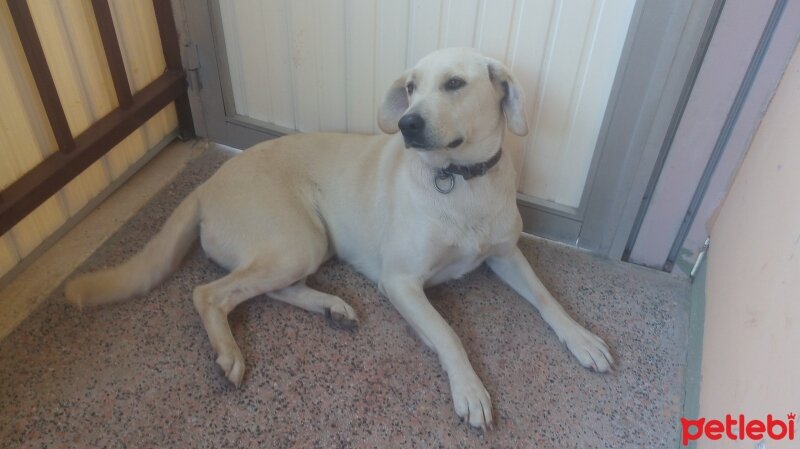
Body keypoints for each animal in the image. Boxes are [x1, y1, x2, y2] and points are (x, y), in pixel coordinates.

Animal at [67, 47, 612, 428]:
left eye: (455, 83)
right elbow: (447, 334)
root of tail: (204, 186)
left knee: (271, 289)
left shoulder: (506, 255)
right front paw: (470, 390)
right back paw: (229, 352)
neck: (461, 182)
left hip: (305, 247)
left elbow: (547, 299)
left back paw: (332, 307)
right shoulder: (401, 283)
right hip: (297, 239)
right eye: (410, 87)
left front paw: (583, 338)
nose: (407, 124)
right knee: (210, 293)